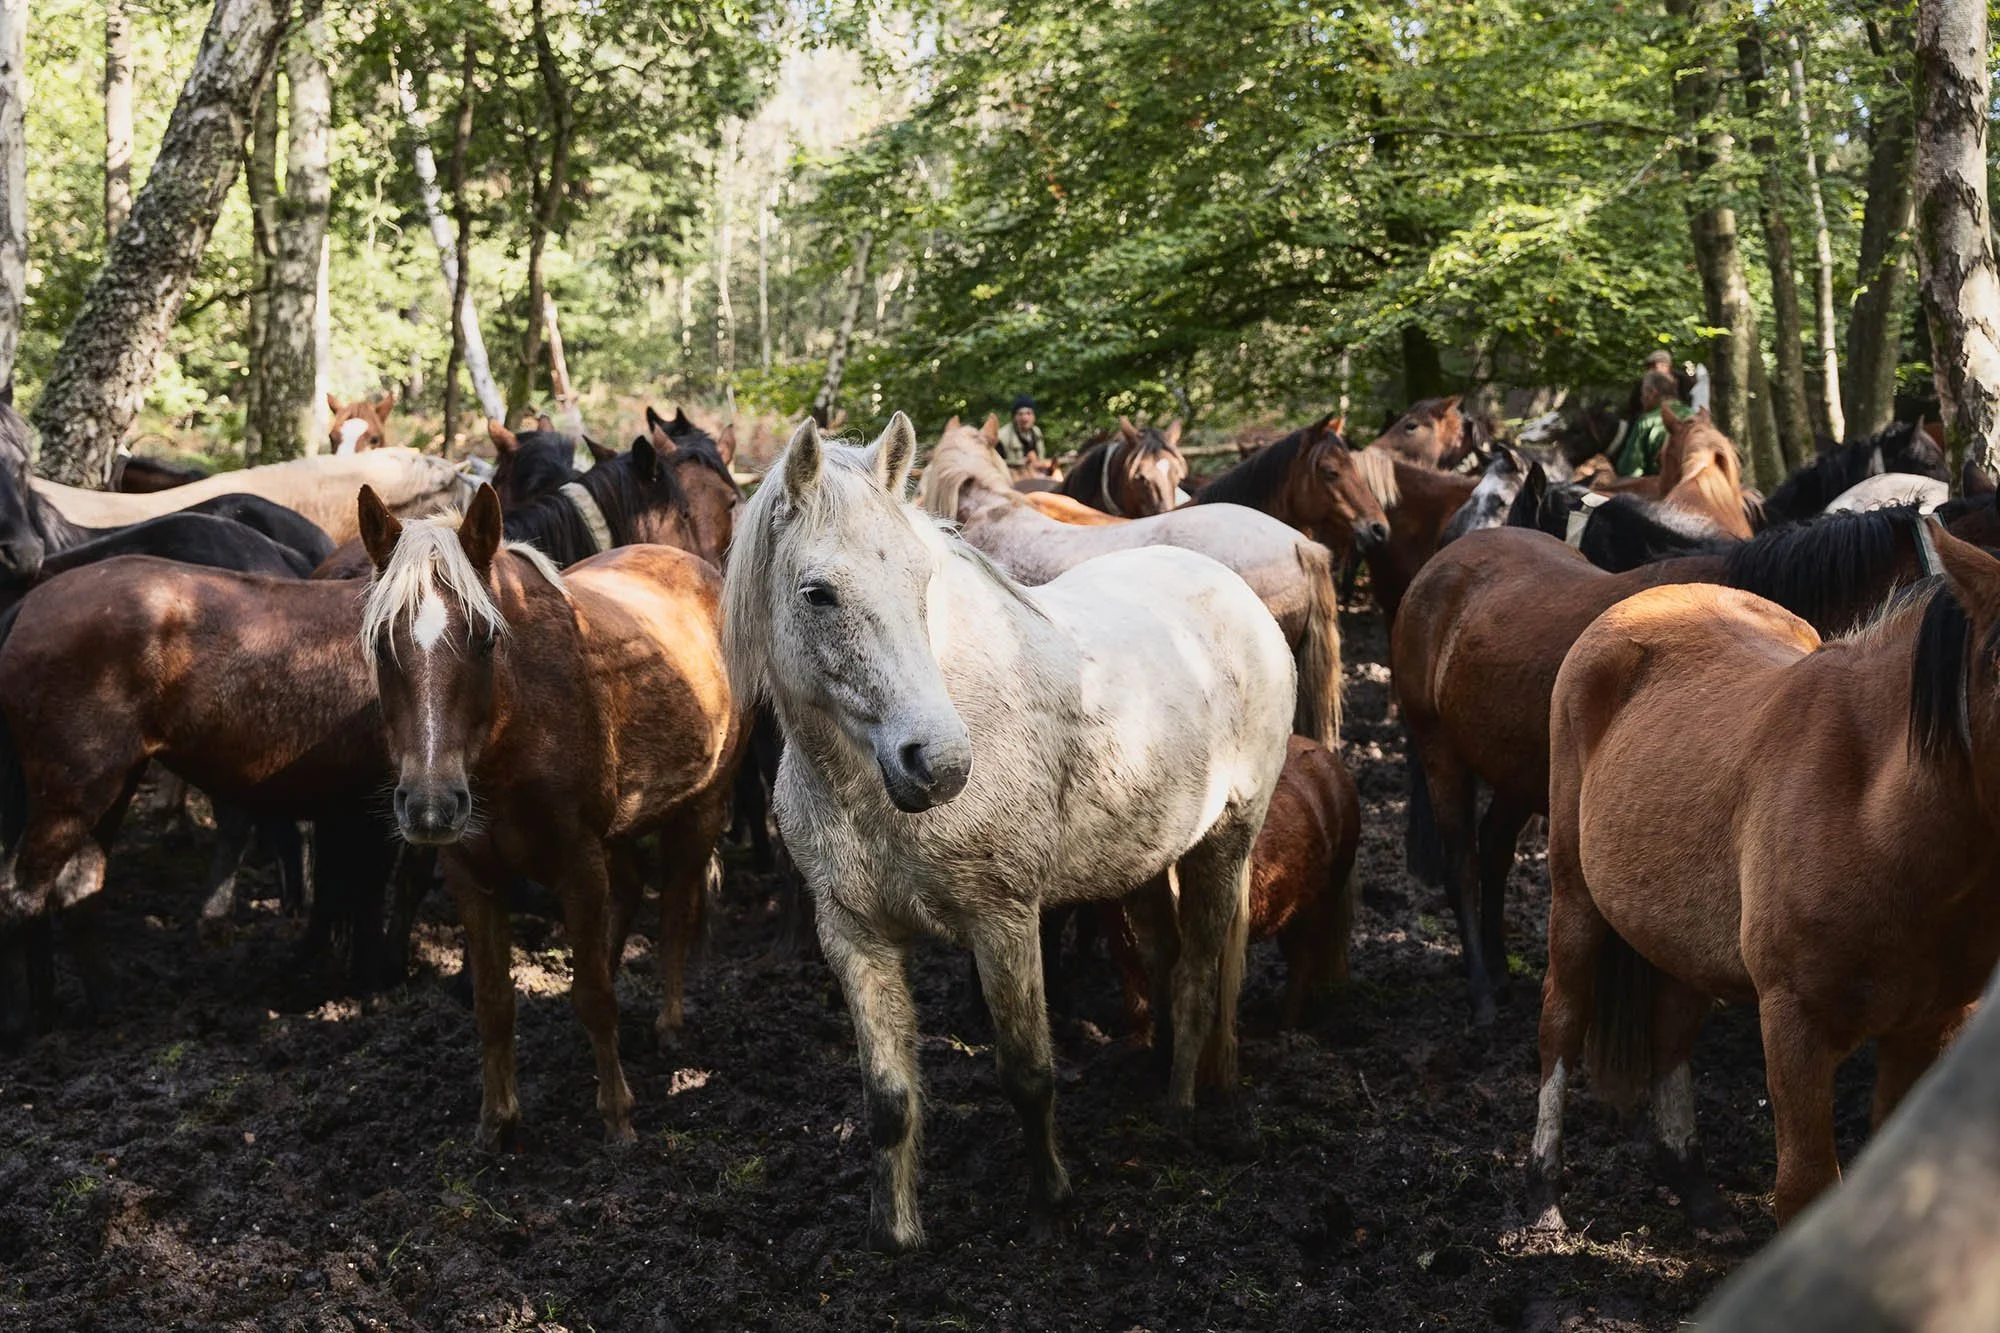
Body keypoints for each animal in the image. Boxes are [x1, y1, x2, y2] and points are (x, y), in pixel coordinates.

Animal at [357, 486, 740, 1146]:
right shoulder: (471, 875)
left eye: (486, 639)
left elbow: (594, 995)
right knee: (631, 892)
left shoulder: (578, 861)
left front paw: (617, 1117)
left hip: (701, 809)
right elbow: (493, 1001)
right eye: (383, 643)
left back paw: (668, 1024)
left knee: (674, 910)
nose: (431, 804)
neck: (516, 724)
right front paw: (497, 1121)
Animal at [1396, 512, 1936, 1023]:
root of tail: (1441, 564)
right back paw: (1483, 991)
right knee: (1463, 863)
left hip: (1518, 774)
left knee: (1494, 850)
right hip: (1440, 748)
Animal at [1526, 525, 2000, 1237]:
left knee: (1671, 1031)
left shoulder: (1932, 1027)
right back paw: (1540, 1195)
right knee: (1562, 1019)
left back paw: (1696, 1191)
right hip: (1574, 897)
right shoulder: (1794, 1023)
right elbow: (1805, 1188)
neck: (1877, 817)